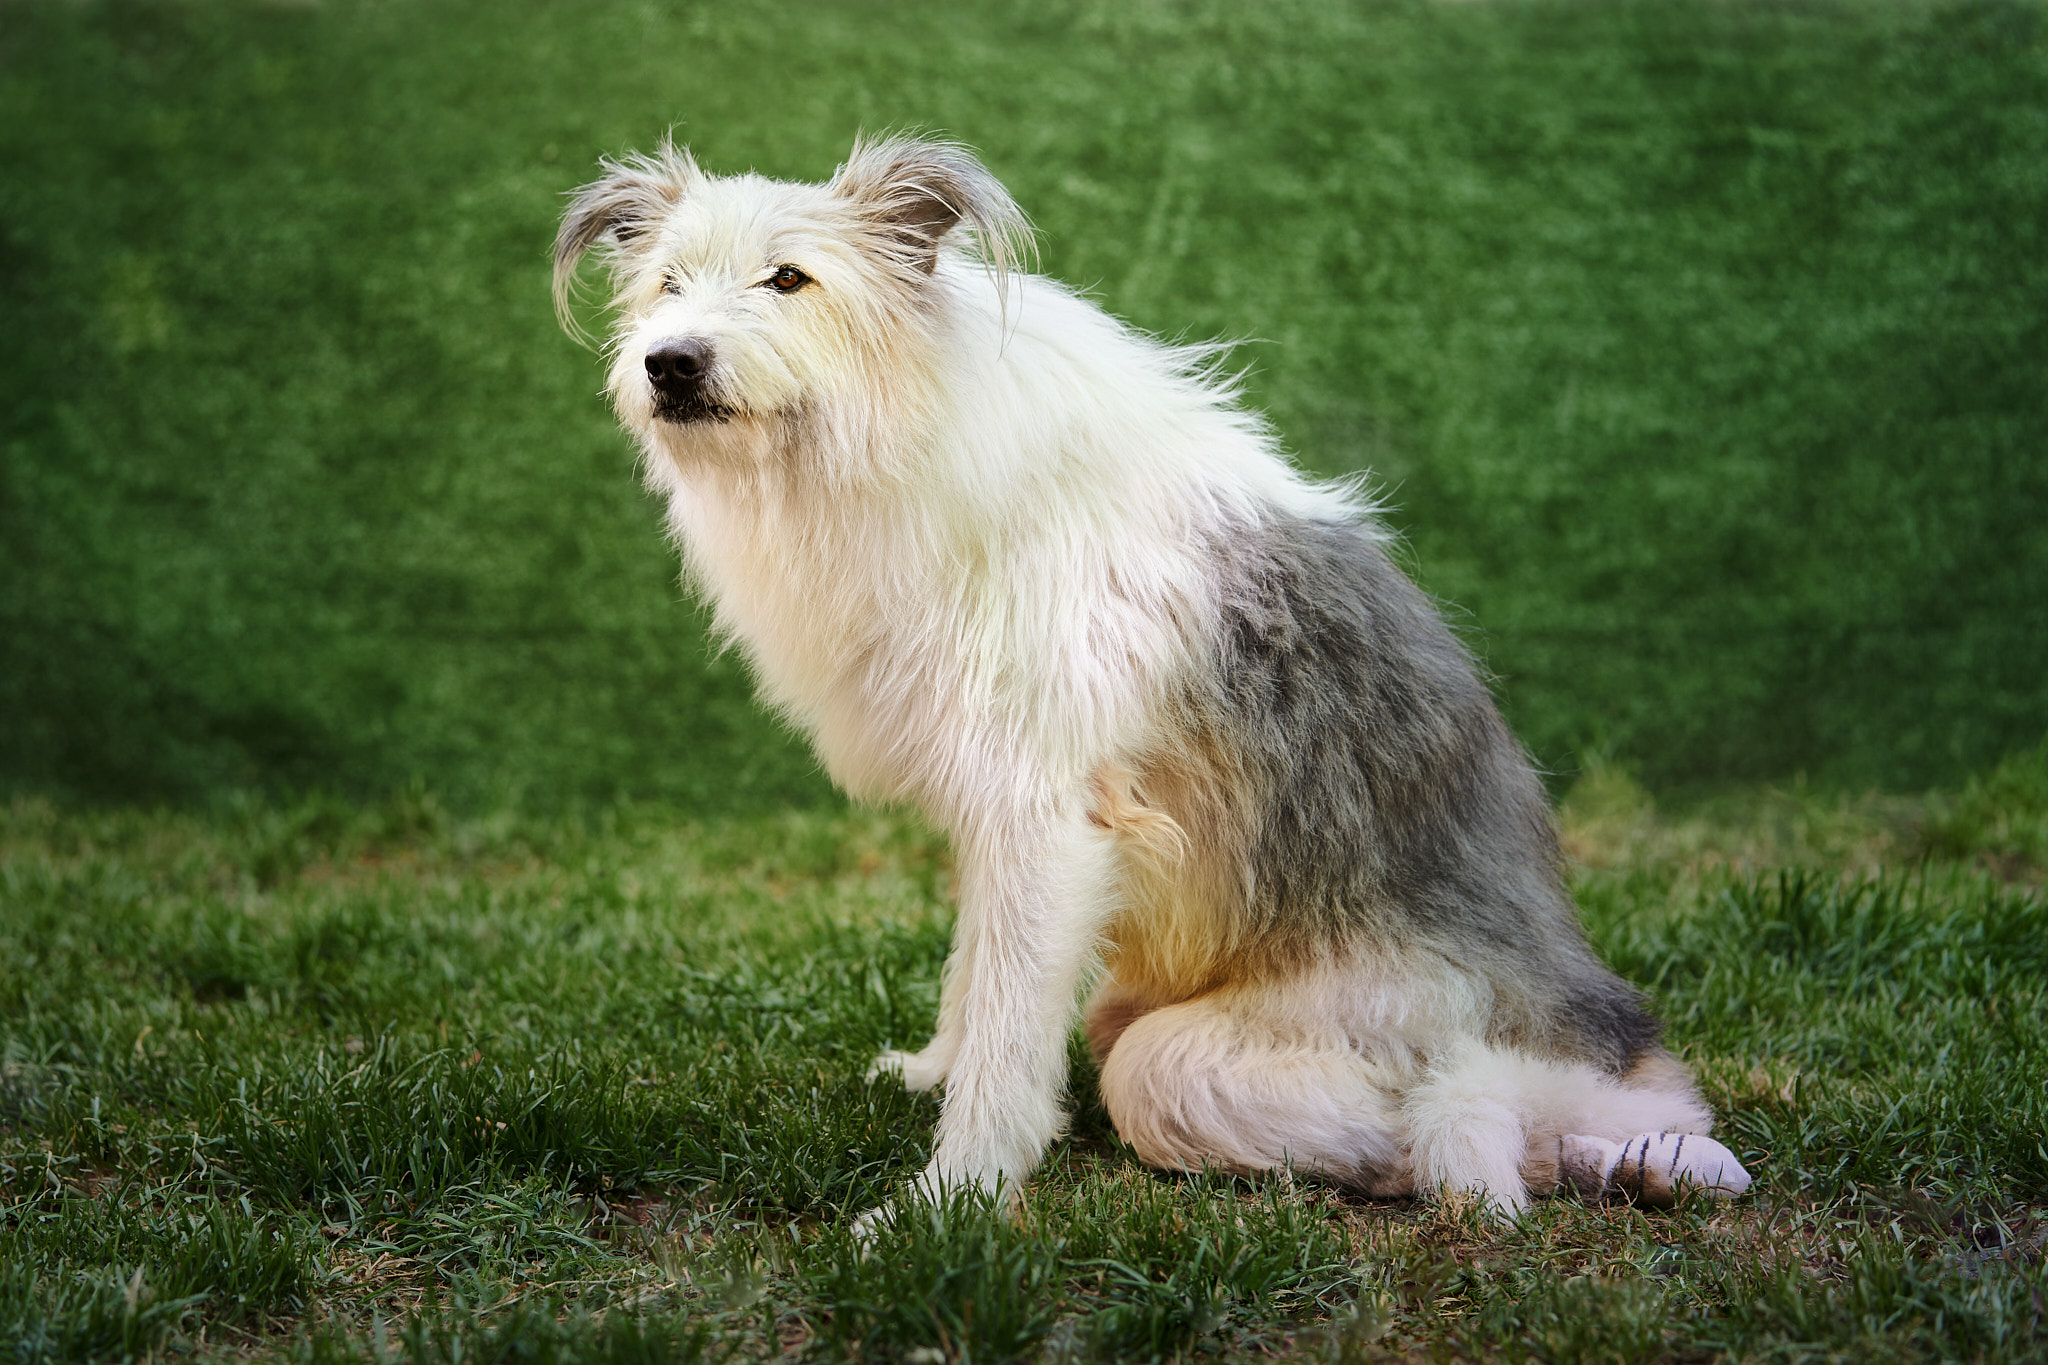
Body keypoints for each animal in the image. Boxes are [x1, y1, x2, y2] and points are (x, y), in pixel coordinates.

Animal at [552, 133, 1753, 1211]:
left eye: (790, 278)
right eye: (666, 283)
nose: (670, 361)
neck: (905, 410)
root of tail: (1608, 1033)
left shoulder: (1045, 819)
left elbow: (1007, 1031)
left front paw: (950, 1201)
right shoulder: (997, 818)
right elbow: (975, 974)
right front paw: (933, 1076)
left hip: (1315, 1047)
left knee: (1460, 1117)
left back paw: (1652, 1161)